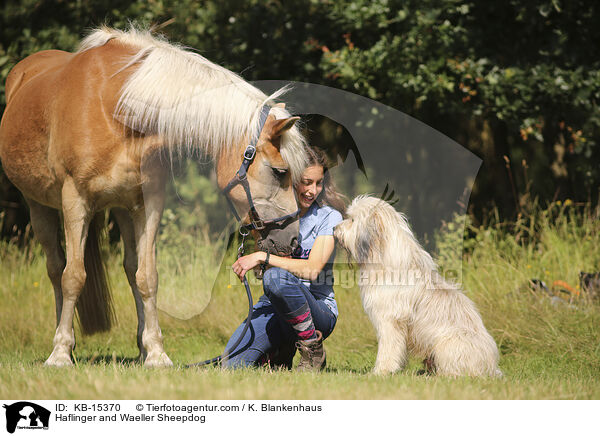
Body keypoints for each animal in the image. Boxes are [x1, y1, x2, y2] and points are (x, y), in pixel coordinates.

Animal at [0, 26, 308, 368]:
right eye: (280, 171)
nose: (293, 240)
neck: (116, 109)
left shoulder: (147, 205)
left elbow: (147, 277)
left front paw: (157, 352)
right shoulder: (75, 201)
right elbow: (73, 276)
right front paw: (60, 354)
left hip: (122, 209)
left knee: (131, 269)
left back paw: (139, 347)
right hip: (38, 205)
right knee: (56, 270)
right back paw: (64, 341)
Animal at [332, 196, 502, 376]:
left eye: (352, 220)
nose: (334, 228)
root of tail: (491, 367)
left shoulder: (390, 320)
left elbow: (388, 348)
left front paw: (381, 370)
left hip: (448, 344)